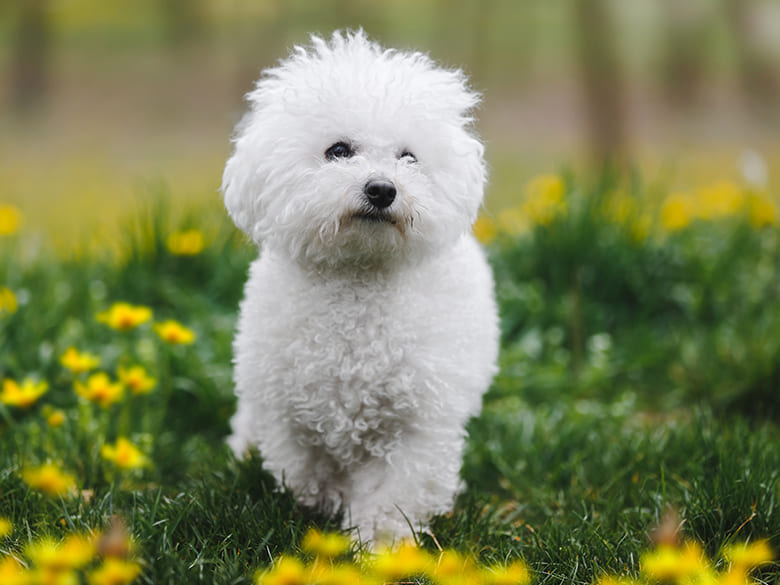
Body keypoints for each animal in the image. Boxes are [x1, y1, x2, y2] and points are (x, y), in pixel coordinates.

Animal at [219, 29, 500, 544]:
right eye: (338, 150)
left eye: (409, 157)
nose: (382, 189)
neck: (358, 282)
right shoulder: (290, 415)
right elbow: (304, 471)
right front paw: (320, 506)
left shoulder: (417, 426)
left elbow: (395, 493)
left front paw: (381, 542)